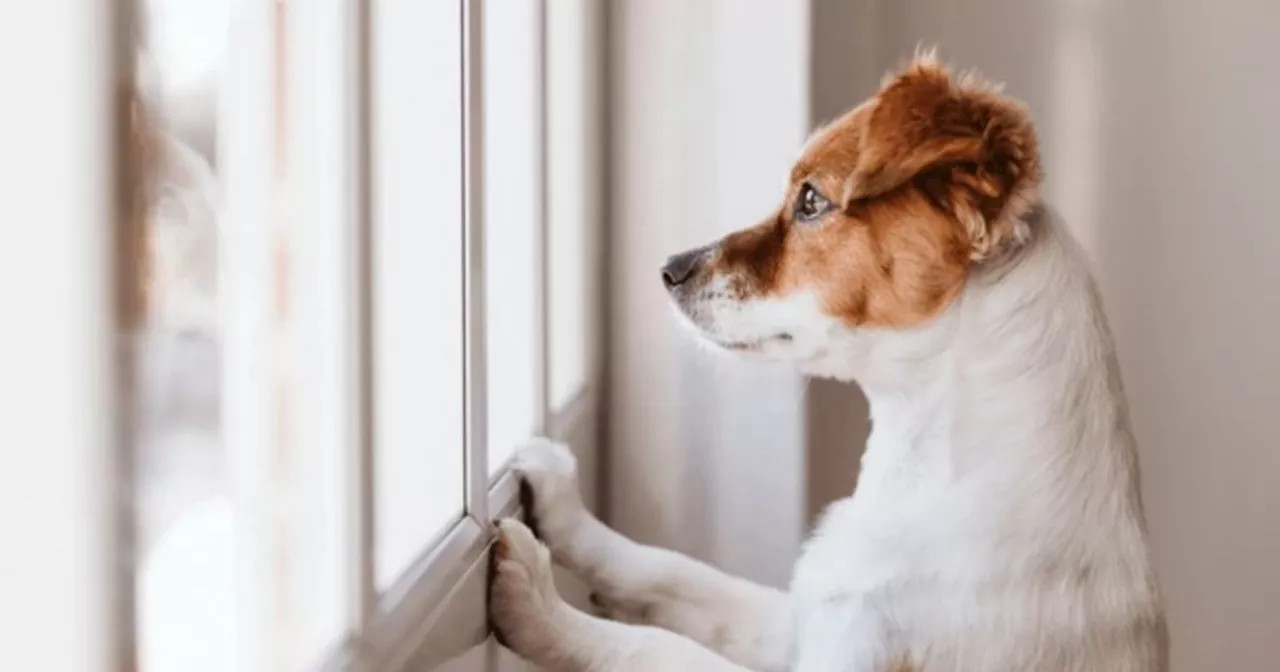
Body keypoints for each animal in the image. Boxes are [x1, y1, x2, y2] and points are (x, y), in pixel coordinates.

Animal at [483, 52, 1167, 670]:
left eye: (811, 201)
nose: (668, 270)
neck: (930, 471)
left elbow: (655, 646)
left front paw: (540, 604)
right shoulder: (803, 619)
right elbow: (676, 572)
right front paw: (563, 507)